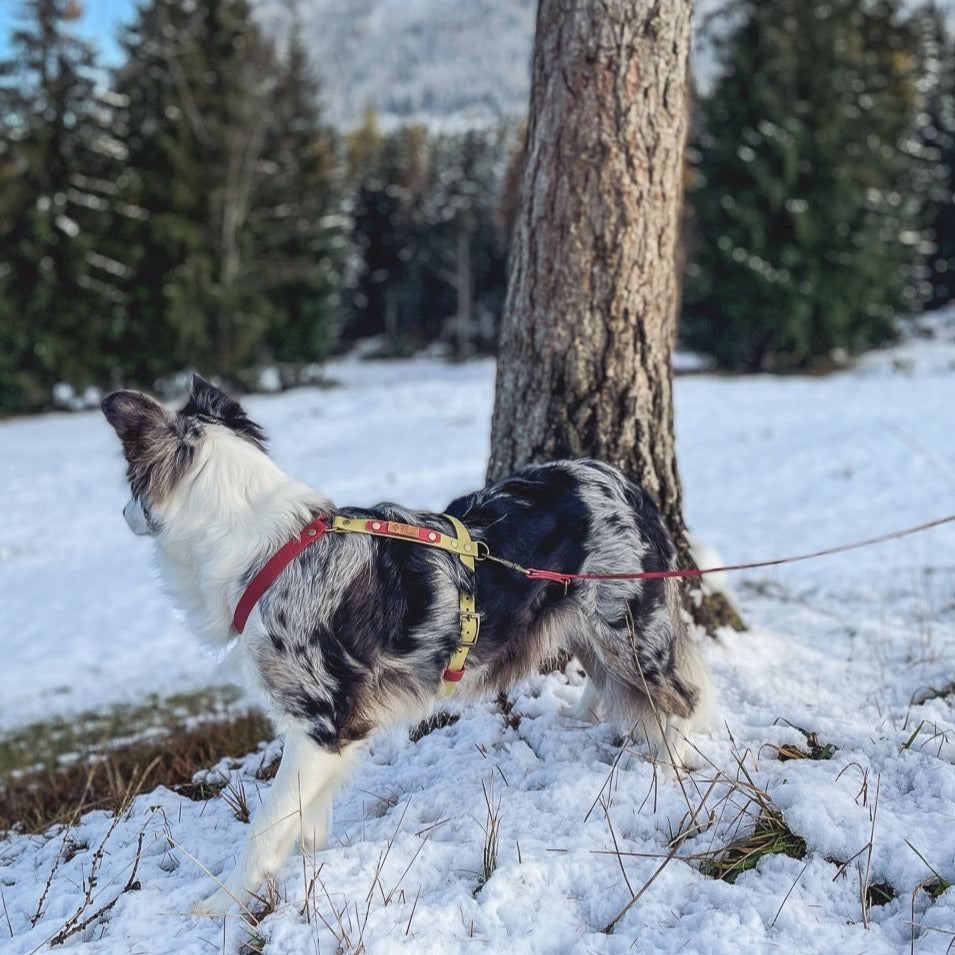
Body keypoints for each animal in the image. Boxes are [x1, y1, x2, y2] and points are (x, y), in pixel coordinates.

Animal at [102, 372, 708, 912]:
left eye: (130, 483)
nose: (122, 514)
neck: (271, 552)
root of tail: (627, 482)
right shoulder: (330, 733)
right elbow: (307, 818)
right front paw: (309, 871)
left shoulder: (321, 720)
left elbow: (266, 827)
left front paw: (220, 907)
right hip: (589, 627)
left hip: (628, 631)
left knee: (686, 698)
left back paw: (670, 777)